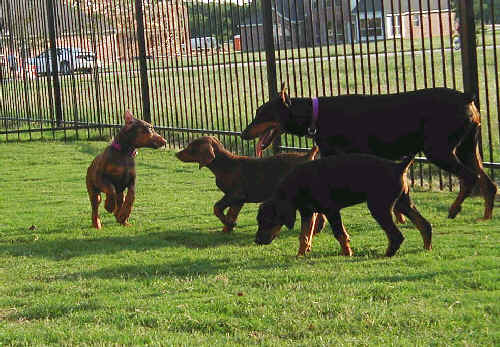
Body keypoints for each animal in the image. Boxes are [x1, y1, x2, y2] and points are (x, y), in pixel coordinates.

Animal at [242, 84, 496, 220]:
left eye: (261, 113)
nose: (244, 133)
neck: (316, 114)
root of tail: (466, 97)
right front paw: (400, 216)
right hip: (467, 148)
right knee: (488, 183)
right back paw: (486, 216)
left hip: (439, 150)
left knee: (470, 177)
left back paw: (454, 209)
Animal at [256, 155, 432, 258]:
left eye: (267, 222)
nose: (257, 241)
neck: (296, 185)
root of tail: (398, 166)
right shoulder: (308, 213)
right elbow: (304, 235)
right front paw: (301, 254)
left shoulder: (331, 211)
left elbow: (339, 233)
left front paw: (347, 253)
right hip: (402, 203)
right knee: (424, 224)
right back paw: (427, 247)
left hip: (379, 207)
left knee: (396, 235)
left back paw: (387, 254)